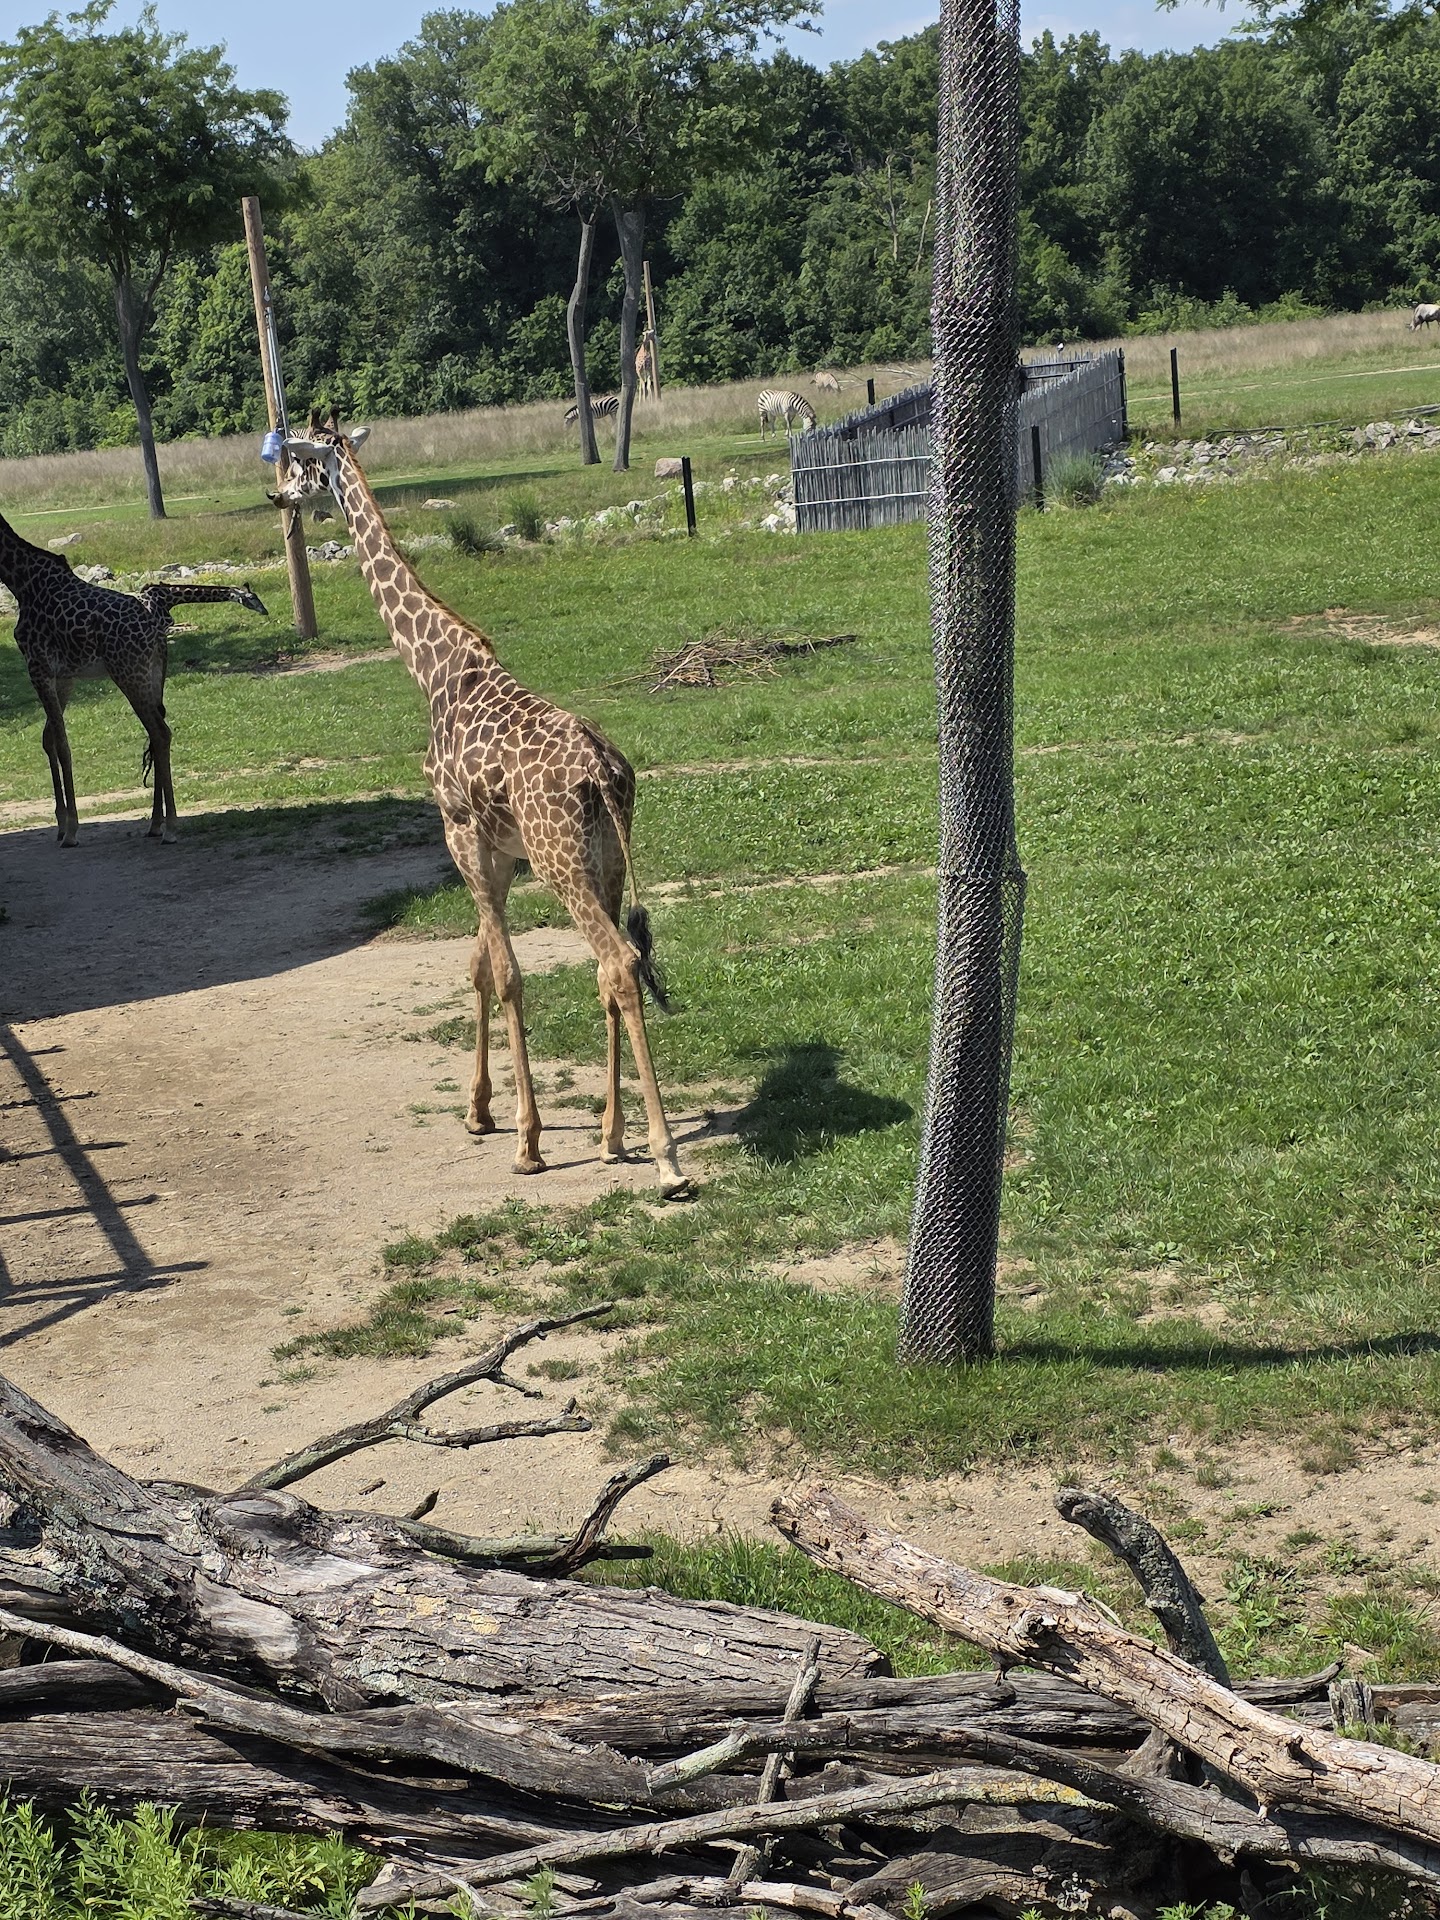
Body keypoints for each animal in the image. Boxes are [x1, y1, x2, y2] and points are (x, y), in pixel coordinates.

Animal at [0, 506, 268, 846]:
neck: (21, 581)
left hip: (129, 675)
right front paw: (61, 824)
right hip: (150, 674)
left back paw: (170, 828)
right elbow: (50, 739)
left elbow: (62, 744)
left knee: (160, 732)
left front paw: (71, 829)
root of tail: (156, 630)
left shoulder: (39, 667)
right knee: (157, 735)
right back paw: (156, 824)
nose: (263, 609)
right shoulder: (64, 675)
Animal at [271, 411, 690, 1197]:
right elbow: (479, 967)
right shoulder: (497, 852)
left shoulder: (460, 833)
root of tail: (605, 774)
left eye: (300, 461)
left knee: (618, 963)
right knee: (608, 971)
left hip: (562, 863)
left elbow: (507, 976)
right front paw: (480, 1111)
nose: (275, 496)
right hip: (607, 860)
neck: (433, 667)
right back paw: (612, 1136)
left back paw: (665, 1158)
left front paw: (526, 1140)